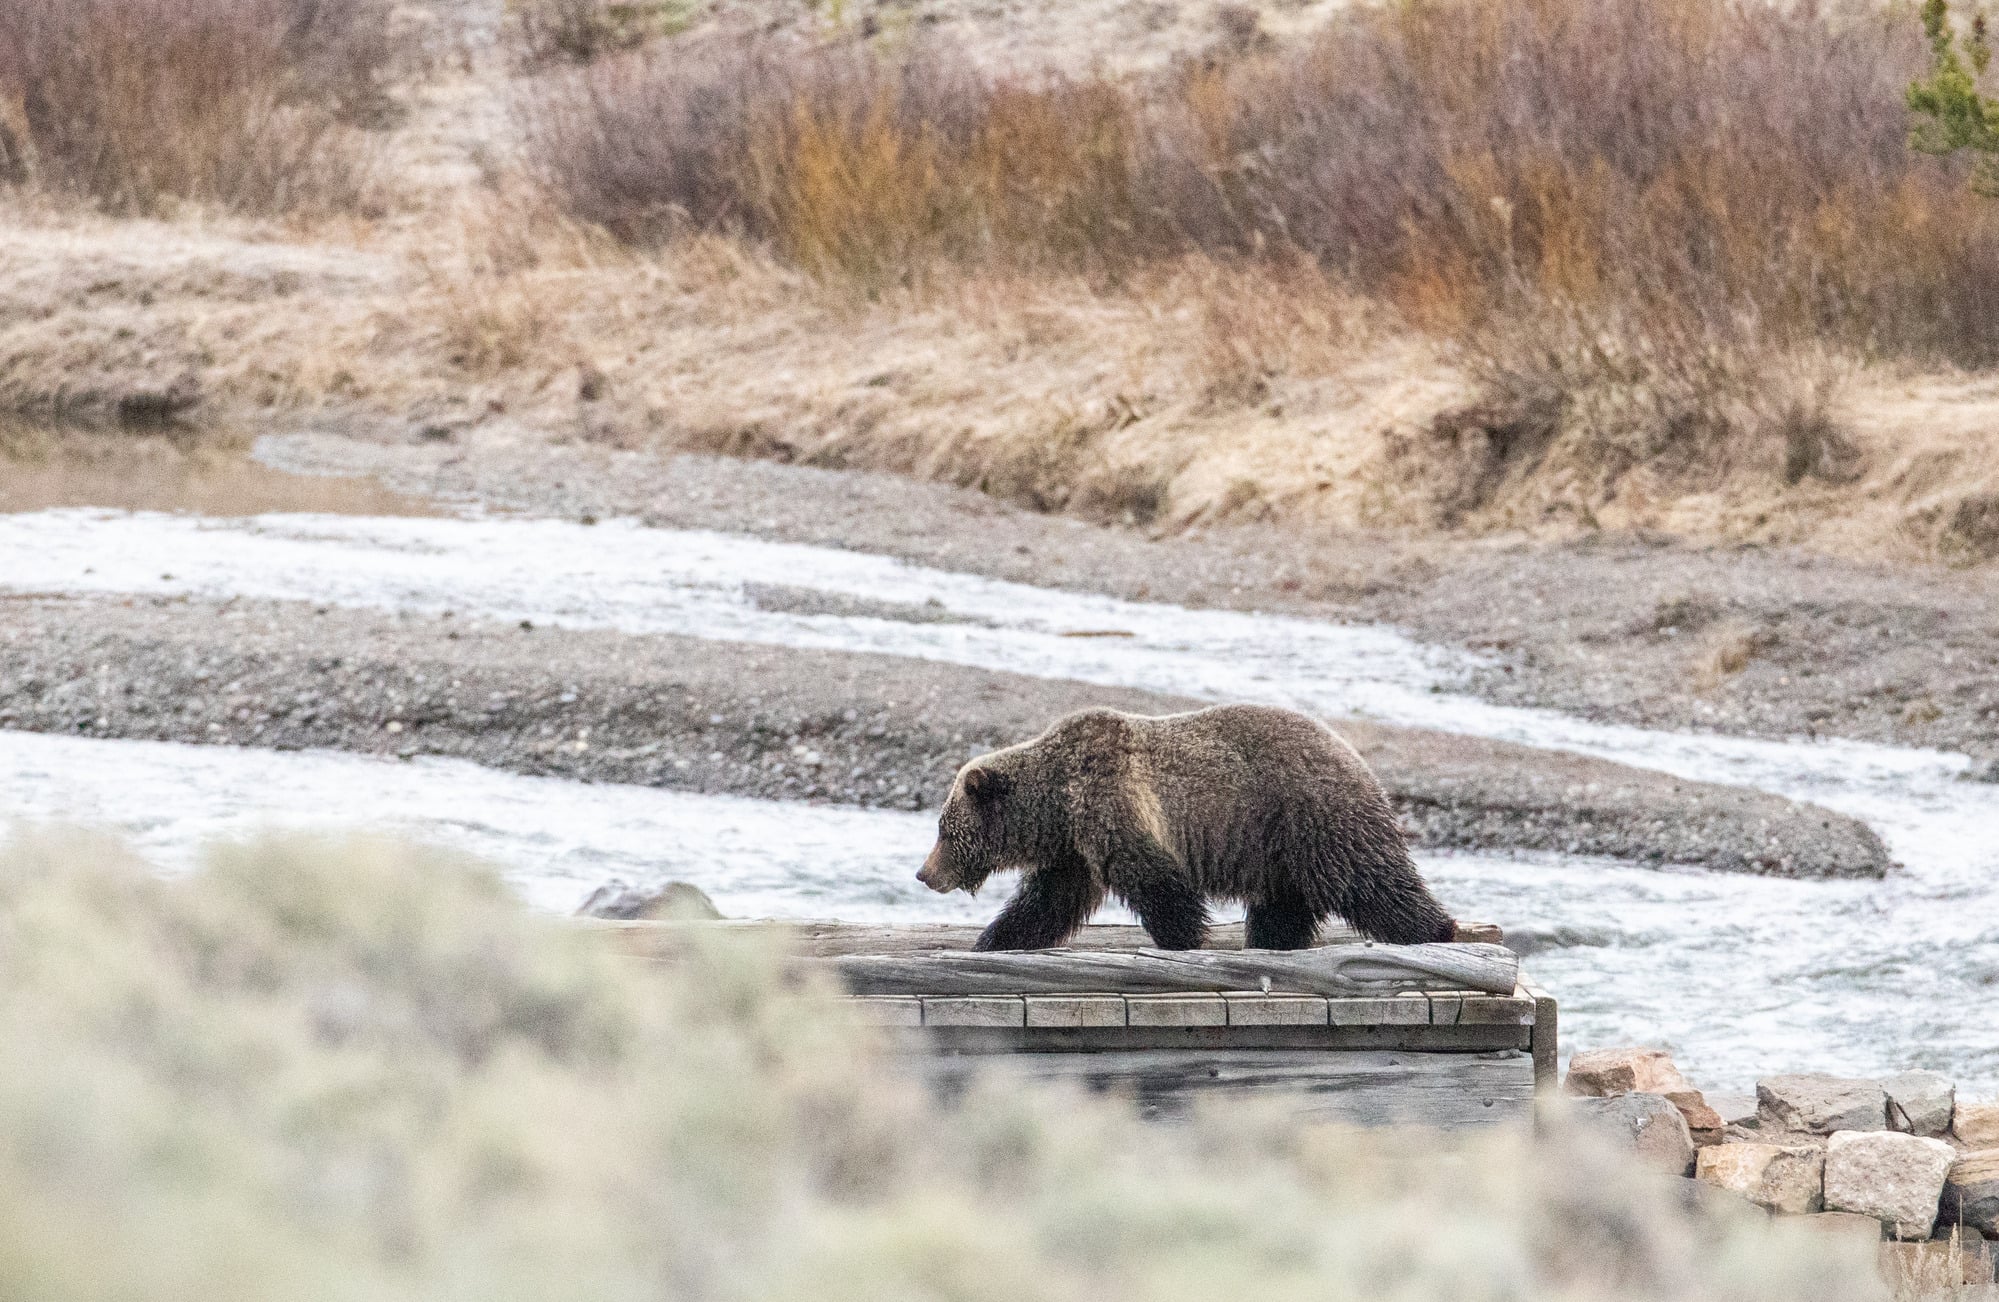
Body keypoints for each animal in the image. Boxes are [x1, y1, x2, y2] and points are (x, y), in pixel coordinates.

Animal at [915, 704, 1456, 951]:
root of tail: (1355, 755)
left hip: (1314, 817)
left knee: (1370, 881)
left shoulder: (1112, 805)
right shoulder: (1074, 848)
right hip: (1278, 846)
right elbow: (1048, 901)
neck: (1056, 804)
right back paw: (1271, 941)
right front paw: (994, 939)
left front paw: (1182, 939)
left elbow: (1156, 882)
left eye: (943, 830)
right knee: (1285, 903)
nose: (924, 873)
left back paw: (1435, 929)